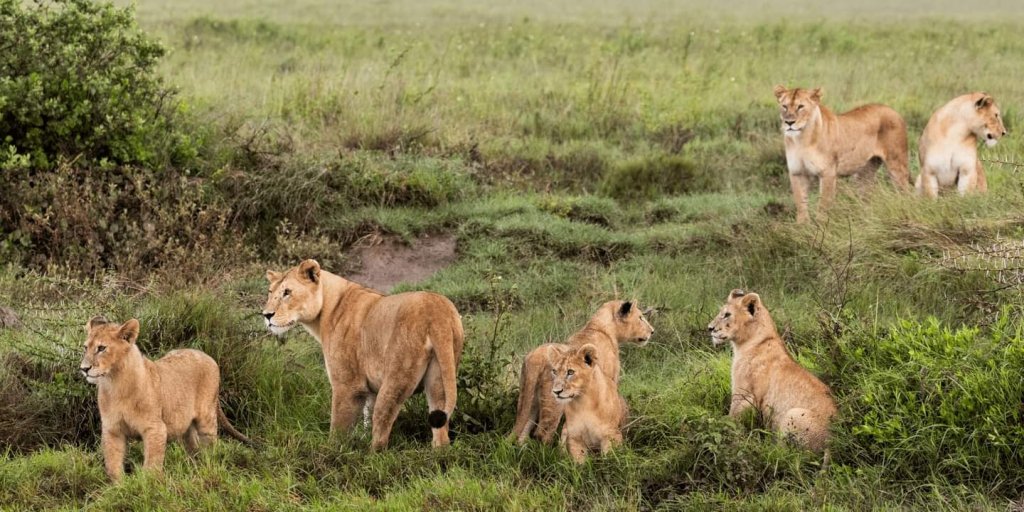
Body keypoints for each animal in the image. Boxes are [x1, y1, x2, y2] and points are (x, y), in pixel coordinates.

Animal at [262, 260, 462, 448]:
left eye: (287, 292)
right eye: (270, 292)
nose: (266, 315)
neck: (327, 308)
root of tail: (437, 313)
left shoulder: (347, 385)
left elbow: (339, 427)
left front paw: (332, 451)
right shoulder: (370, 387)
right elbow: (367, 414)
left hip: (397, 376)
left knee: (382, 426)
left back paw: (370, 455)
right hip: (441, 376)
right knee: (440, 431)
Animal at [507, 299, 651, 444]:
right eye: (640, 317)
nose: (652, 331)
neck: (600, 328)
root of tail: (537, 356)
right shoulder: (610, 380)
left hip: (529, 399)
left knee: (523, 431)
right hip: (554, 402)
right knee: (543, 433)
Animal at [708, 290, 835, 454]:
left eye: (727, 314)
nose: (709, 328)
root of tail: (833, 442)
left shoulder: (744, 394)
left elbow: (730, 420)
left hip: (792, 415)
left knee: (784, 454)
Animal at [770, 84, 909, 223]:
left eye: (800, 106)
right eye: (784, 106)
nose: (789, 122)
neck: (802, 139)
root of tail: (892, 110)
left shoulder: (828, 172)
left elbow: (823, 205)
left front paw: (821, 226)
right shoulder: (797, 173)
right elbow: (800, 204)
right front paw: (802, 226)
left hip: (896, 165)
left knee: (905, 191)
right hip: (865, 172)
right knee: (867, 196)